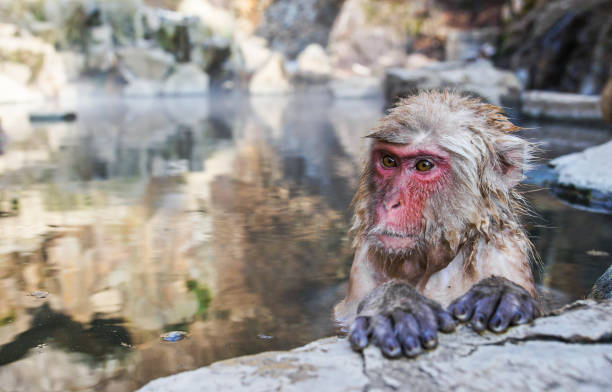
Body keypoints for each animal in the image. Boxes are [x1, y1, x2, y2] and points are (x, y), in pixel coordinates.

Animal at [338, 90, 544, 356]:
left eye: (424, 165)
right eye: (389, 161)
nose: (390, 203)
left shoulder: (502, 252)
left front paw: (498, 291)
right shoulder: (365, 258)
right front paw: (396, 303)